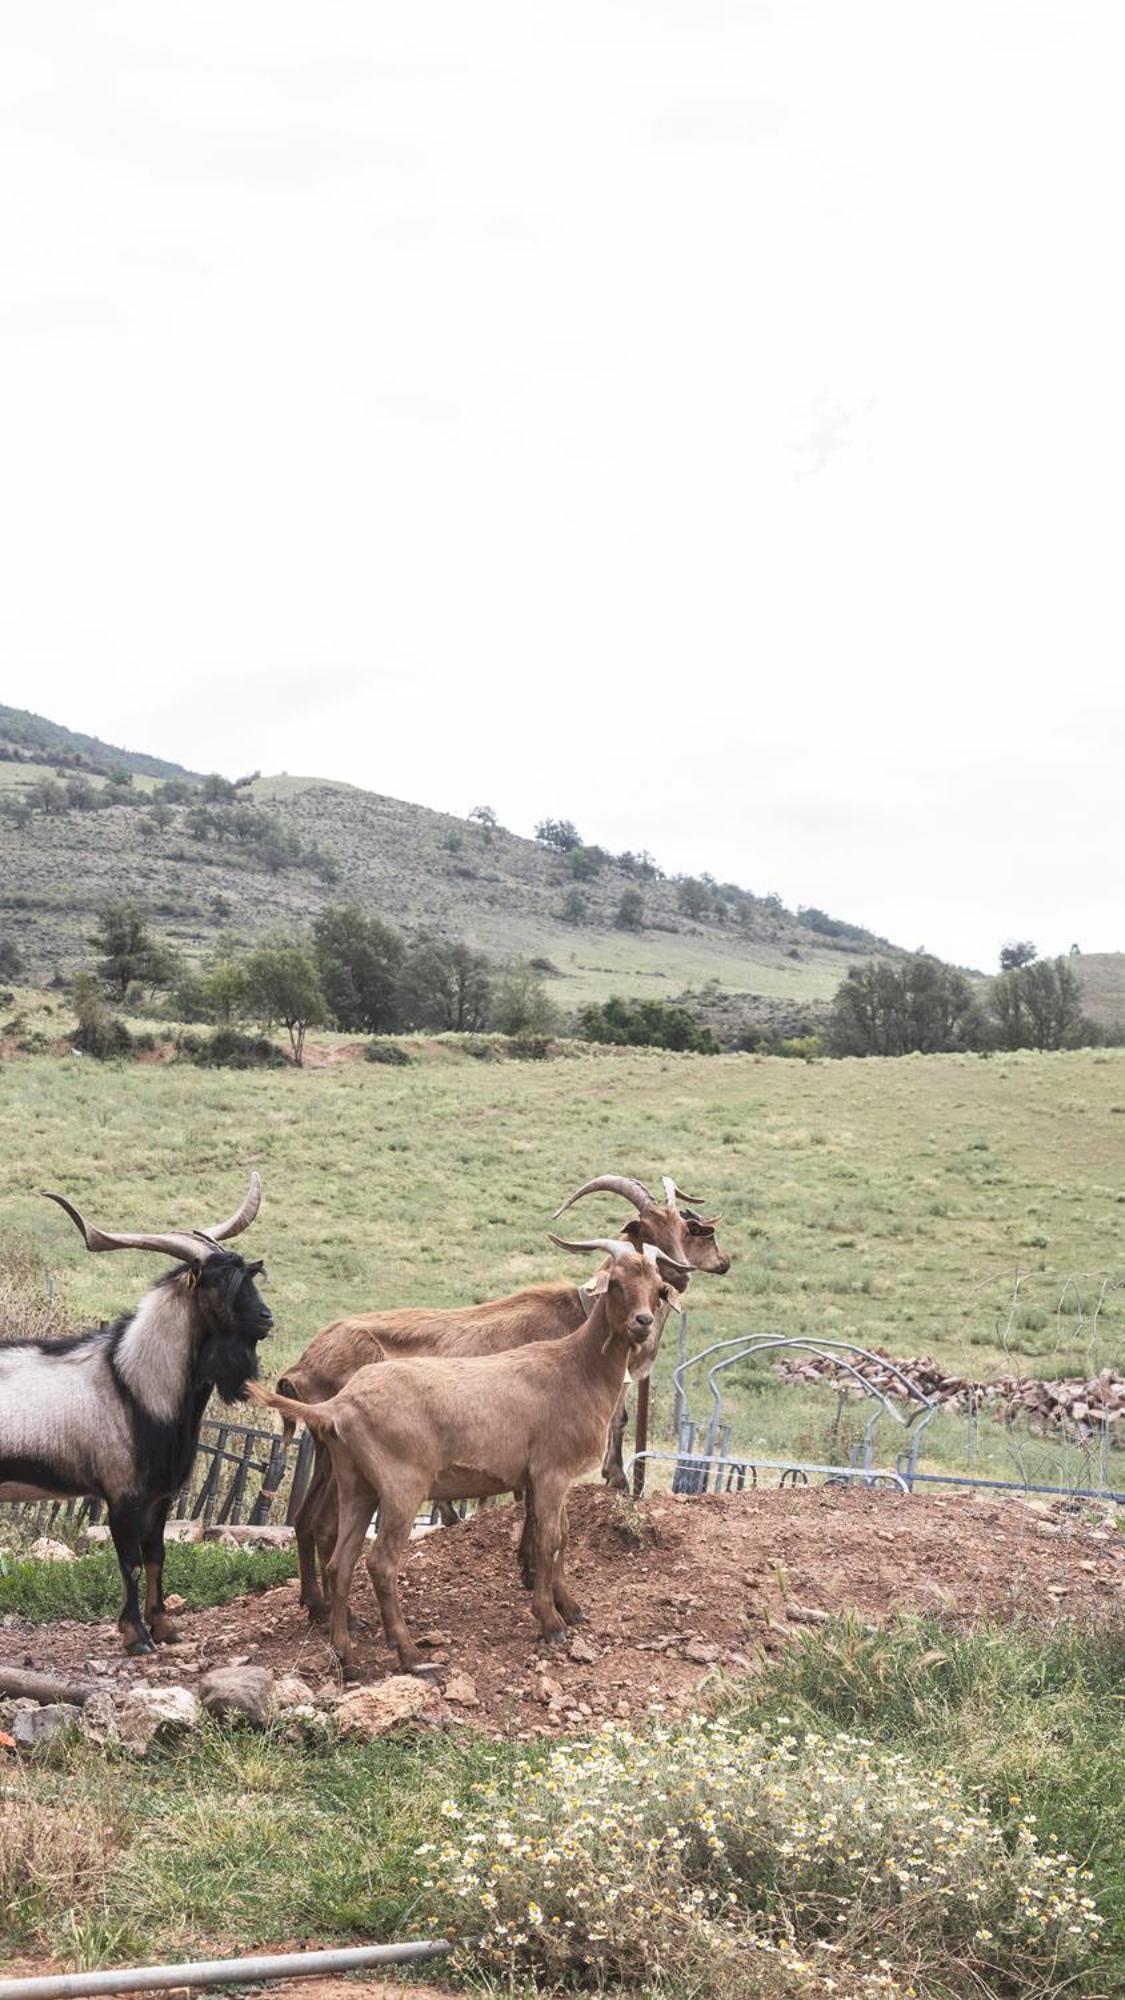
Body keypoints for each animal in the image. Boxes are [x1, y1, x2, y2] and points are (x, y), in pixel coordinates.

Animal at [0, 1168, 272, 1656]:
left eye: (250, 1275)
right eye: (219, 1284)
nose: (266, 1317)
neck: (135, 1384)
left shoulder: (161, 1497)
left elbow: (156, 1555)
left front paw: (165, 1626)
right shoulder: (122, 1493)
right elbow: (129, 1560)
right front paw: (137, 1636)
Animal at [248, 1232, 680, 1672]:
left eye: (657, 1287)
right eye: (616, 1283)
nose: (642, 1323)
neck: (575, 1367)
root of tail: (340, 1405)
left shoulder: (553, 1479)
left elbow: (563, 1535)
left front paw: (571, 1608)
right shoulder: (550, 1472)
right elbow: (549, 1539)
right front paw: (551, 1621)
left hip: (357, 1486)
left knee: (341, 1560)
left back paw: (347, 1657)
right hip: (402, 1489)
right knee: (380, 1563)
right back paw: (411, 1656)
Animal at [280, 1176, 728, 1616]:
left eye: (681, 1227)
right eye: (644, 1229)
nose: (678, 1277)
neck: (579, 1319)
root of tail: (301, 1366)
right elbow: (535, 1512)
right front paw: (532, 1576)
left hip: (327, 1457)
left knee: (305, 1519)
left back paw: (315, 1602)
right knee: (325, 1525)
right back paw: (333, 1612)